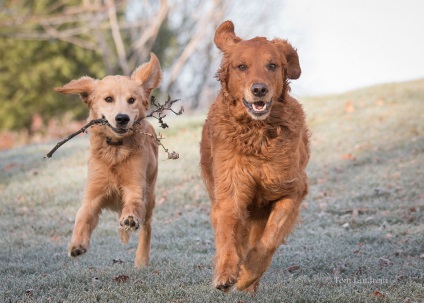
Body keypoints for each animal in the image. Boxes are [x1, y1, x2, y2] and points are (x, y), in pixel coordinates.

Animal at [55, 52, 161, 268]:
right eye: (108, 99)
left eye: (131, 100)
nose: (122, 118)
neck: (115, 150)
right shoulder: (93, 195)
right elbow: (82, 217)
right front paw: (76, 245)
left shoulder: (135, 188)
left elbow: (133, 205)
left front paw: (129, 219)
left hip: (151, 195)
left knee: (147, 226)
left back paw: (141, 259)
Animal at [200, 20, 310, 292]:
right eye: (242, 66)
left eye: (272, 65)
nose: (259, 89)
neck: (257, 135)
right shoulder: (230, 192)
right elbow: (228, 235)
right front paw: (226, 272)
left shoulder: (291, 190)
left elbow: (269, 239)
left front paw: (247, 275)